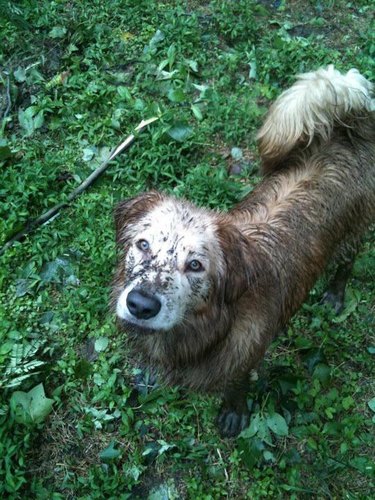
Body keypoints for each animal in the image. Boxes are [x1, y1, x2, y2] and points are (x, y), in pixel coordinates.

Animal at [114, 67, 375, 438]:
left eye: (196, 265)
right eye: (143, 244)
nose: (140, 305)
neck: (206, 330)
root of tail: (346, 129)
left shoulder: (245, 356)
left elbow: (236, 386)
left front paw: (234, 413)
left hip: (352, 233)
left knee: (347, 262)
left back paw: (335, 296)